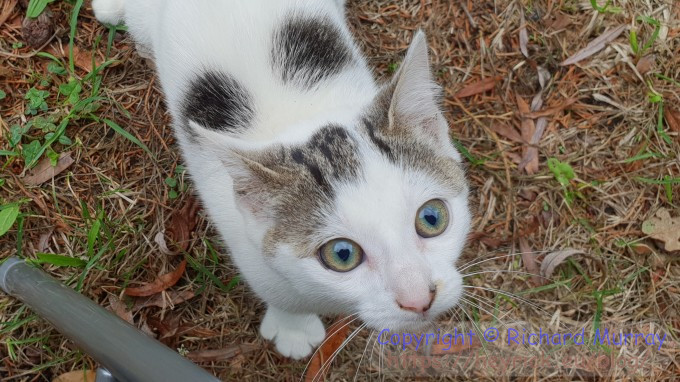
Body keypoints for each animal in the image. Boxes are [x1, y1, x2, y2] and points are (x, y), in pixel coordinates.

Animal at [93, 0, 470, 360]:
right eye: (342, 254)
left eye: (431, 218)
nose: (419, 300)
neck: (300, 116)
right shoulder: (248, 251)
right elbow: (281, 295)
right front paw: (294, 330)